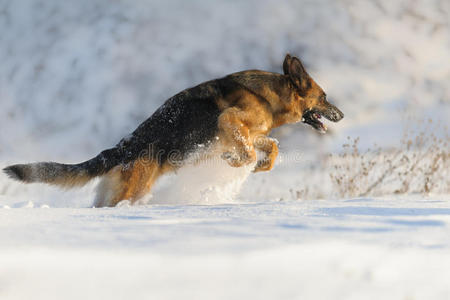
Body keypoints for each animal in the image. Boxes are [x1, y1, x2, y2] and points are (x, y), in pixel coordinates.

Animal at [3, 54, 342, 206]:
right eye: (324, 96)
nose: (340, 115)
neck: (270, 96)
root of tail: (122, 148)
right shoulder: (229, 121)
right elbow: (247, 150)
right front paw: (236, 161)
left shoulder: (251, 131)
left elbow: (271, 147)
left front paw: (259, 165)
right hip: (135, 188)